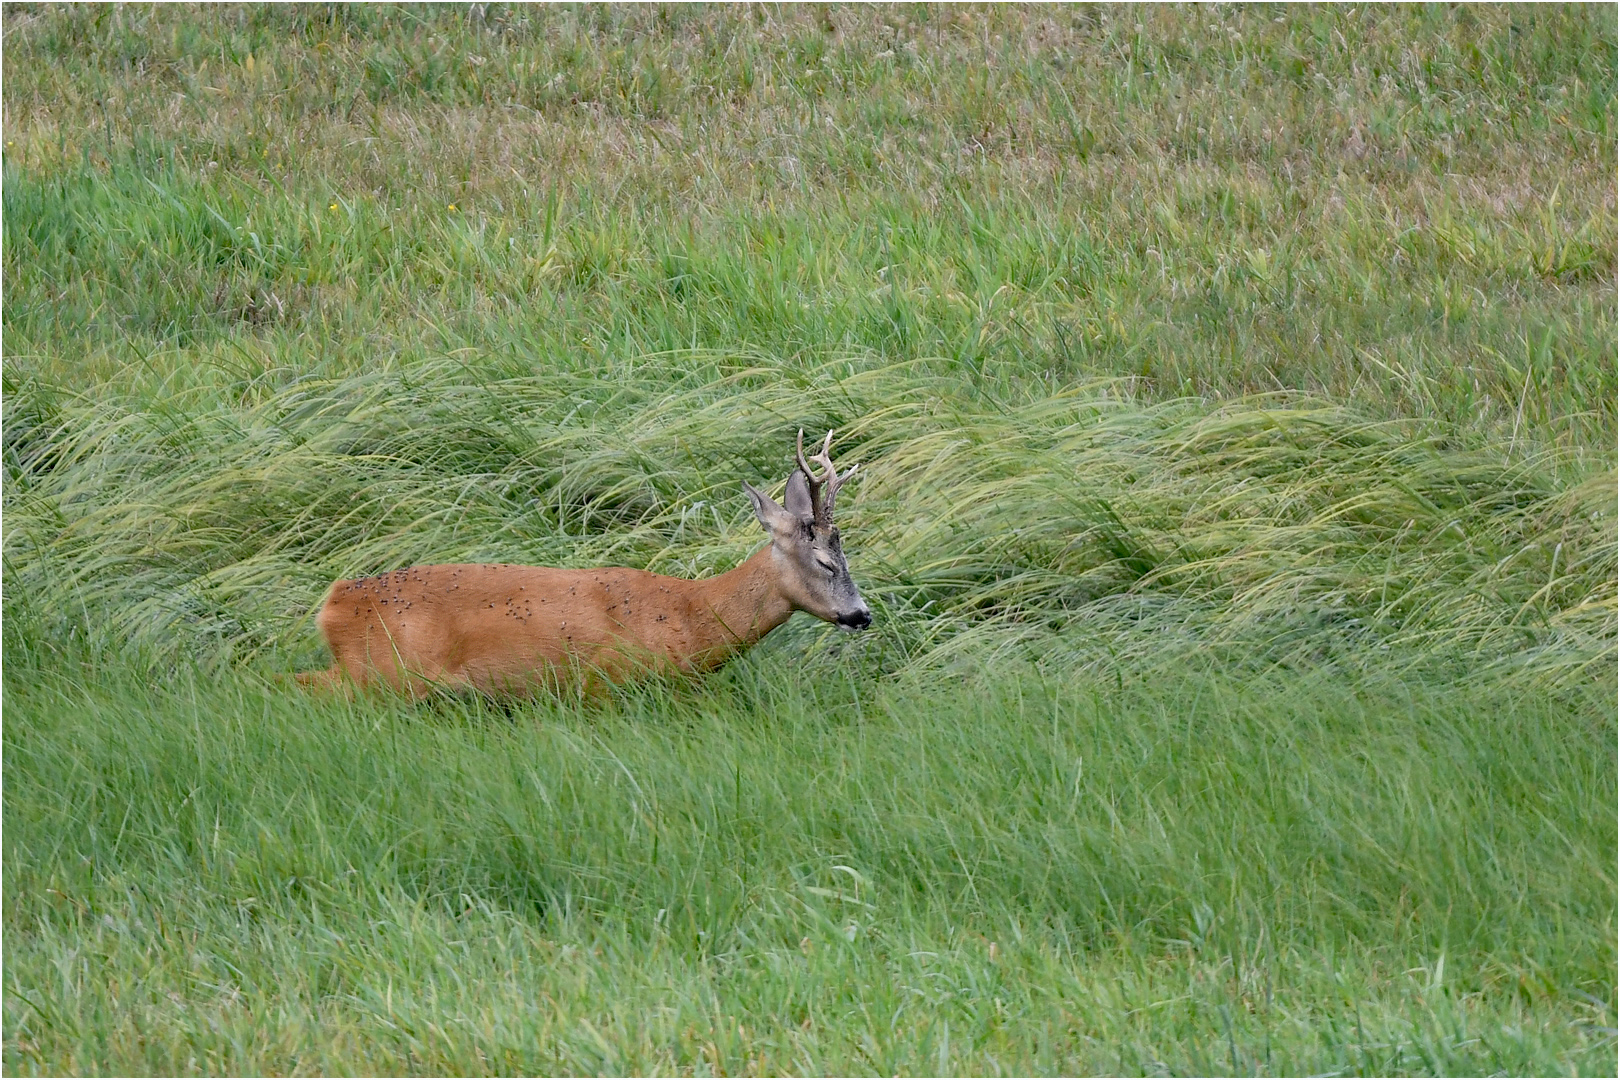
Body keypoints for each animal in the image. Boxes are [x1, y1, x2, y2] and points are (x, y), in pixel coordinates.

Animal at [296, 427, 868, 696]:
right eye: (824, 561)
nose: (862, 614)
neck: (690, 618)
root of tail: (333, 602)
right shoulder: (605, 684)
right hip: (382, 673)